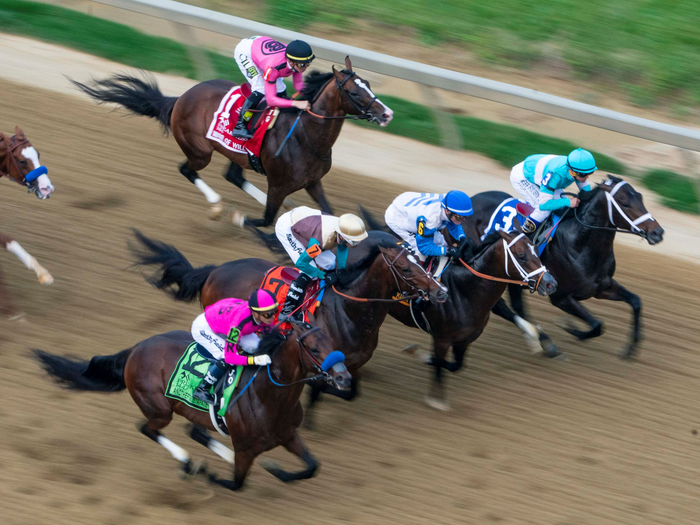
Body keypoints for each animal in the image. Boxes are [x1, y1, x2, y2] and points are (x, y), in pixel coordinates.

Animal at [34, 320, 350, 492]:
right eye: (313, 348)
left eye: (334, 343)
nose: (344, 378)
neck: (270, 396)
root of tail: (135, 349)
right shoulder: (246, 449)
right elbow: (236, 483)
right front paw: (206, 472)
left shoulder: (288, 434)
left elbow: (312, 467)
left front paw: (276, 470)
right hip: (159, 410)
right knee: (148, 429)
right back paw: (187, 462)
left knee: (194, 431)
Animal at [74, 57, 396, 225]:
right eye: (354, 92)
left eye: (369, 85)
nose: (387, 113)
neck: (306, 137)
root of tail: (180, 99)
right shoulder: (278, 184)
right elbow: (265, 220)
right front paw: (241, 218)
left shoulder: (313, 182)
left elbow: (328, 211)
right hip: (199, 150)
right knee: (187, 169)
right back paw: (216, 204)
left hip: (236, 153)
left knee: (232, 174)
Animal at [131, 229, 448, 426]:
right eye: (405, 269)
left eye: (422, 264)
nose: (440, 292)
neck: (350, 311)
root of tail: (215, 270)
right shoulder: (324, 360)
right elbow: (320, 390)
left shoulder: (351, 364)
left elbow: (349, 391)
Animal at [462, 174, 664, 358]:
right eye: (624, 202)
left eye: (640, 197)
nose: (658, 232)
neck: (580, 244)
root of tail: (470, 201)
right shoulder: (561, 297)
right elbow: (597, 325)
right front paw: (571, 329)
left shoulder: (601, 287)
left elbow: (635, 301)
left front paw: (631, 348)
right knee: (504, 306)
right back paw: (543, 341)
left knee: (516, 304)